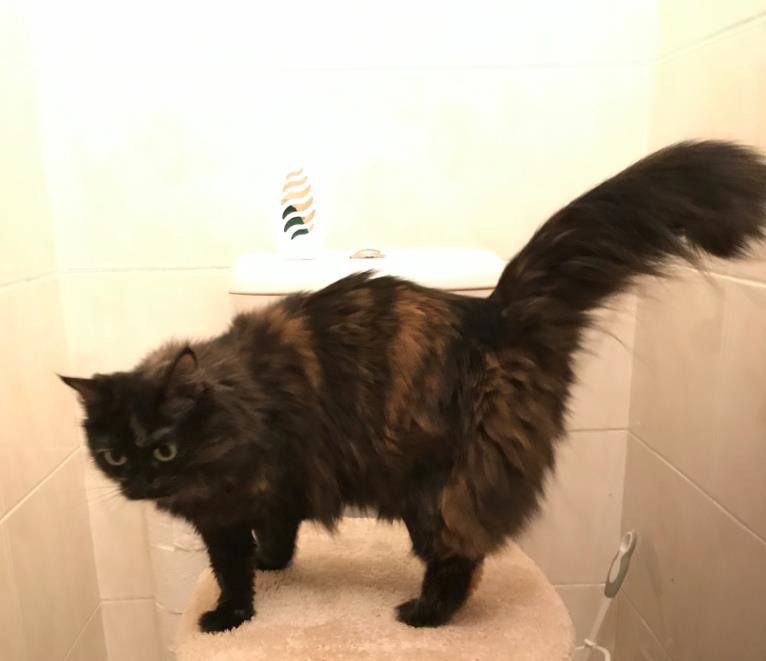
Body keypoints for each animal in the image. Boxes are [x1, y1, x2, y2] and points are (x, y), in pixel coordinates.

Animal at [62, 141, 766, 633]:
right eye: (114, 454)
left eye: (164, 448)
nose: (138, 482)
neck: (234, 411)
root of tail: (494, 313)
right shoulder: (281, 491)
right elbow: (281, 535)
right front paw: (276, 565)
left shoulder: (228, 510)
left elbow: (233, 570)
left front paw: (230, 616)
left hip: (437, 491)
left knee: (462, 558)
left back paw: (423, 616)